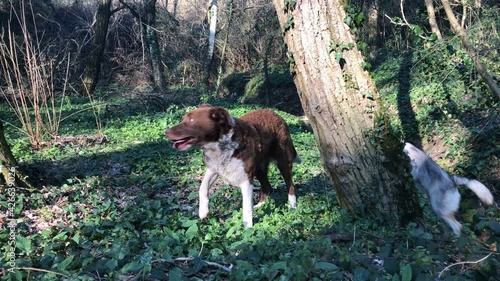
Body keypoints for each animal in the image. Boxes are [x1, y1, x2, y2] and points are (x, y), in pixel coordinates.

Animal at [167, 104, 300, 226]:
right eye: (183, 119)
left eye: (191, 120)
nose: (166, 132)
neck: (220, 145)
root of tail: (276, 114)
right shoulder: (214, 168)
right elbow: (202, 187)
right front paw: (203, 211)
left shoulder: (246, 180)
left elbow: (246, 207)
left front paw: (248, 229)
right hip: (259, 168)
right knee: (267, 186)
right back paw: (260, 206)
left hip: (283, 161)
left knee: (290, 184)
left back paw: (292, 206)